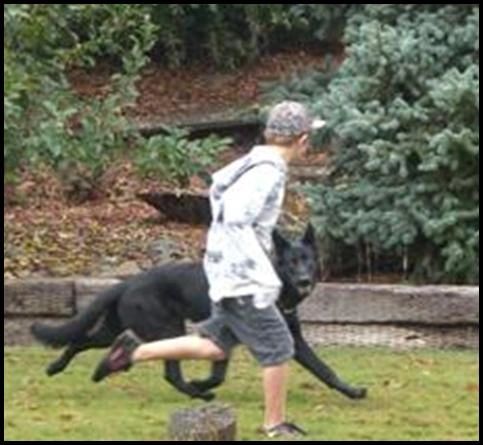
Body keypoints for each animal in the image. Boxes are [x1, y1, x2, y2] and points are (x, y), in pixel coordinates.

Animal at [31, 224, 366, 400]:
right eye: (291, 263)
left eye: (308, 260)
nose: (304, 281)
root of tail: (128, 282)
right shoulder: (224, 336)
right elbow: (217, 375)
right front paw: (202, 385)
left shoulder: (290, 340)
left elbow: (324, 369)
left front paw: (350, 391)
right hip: (167, 329)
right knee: (168, 372)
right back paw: (195, 394)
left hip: (120, 328)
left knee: (82, 340)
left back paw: (60, 367)